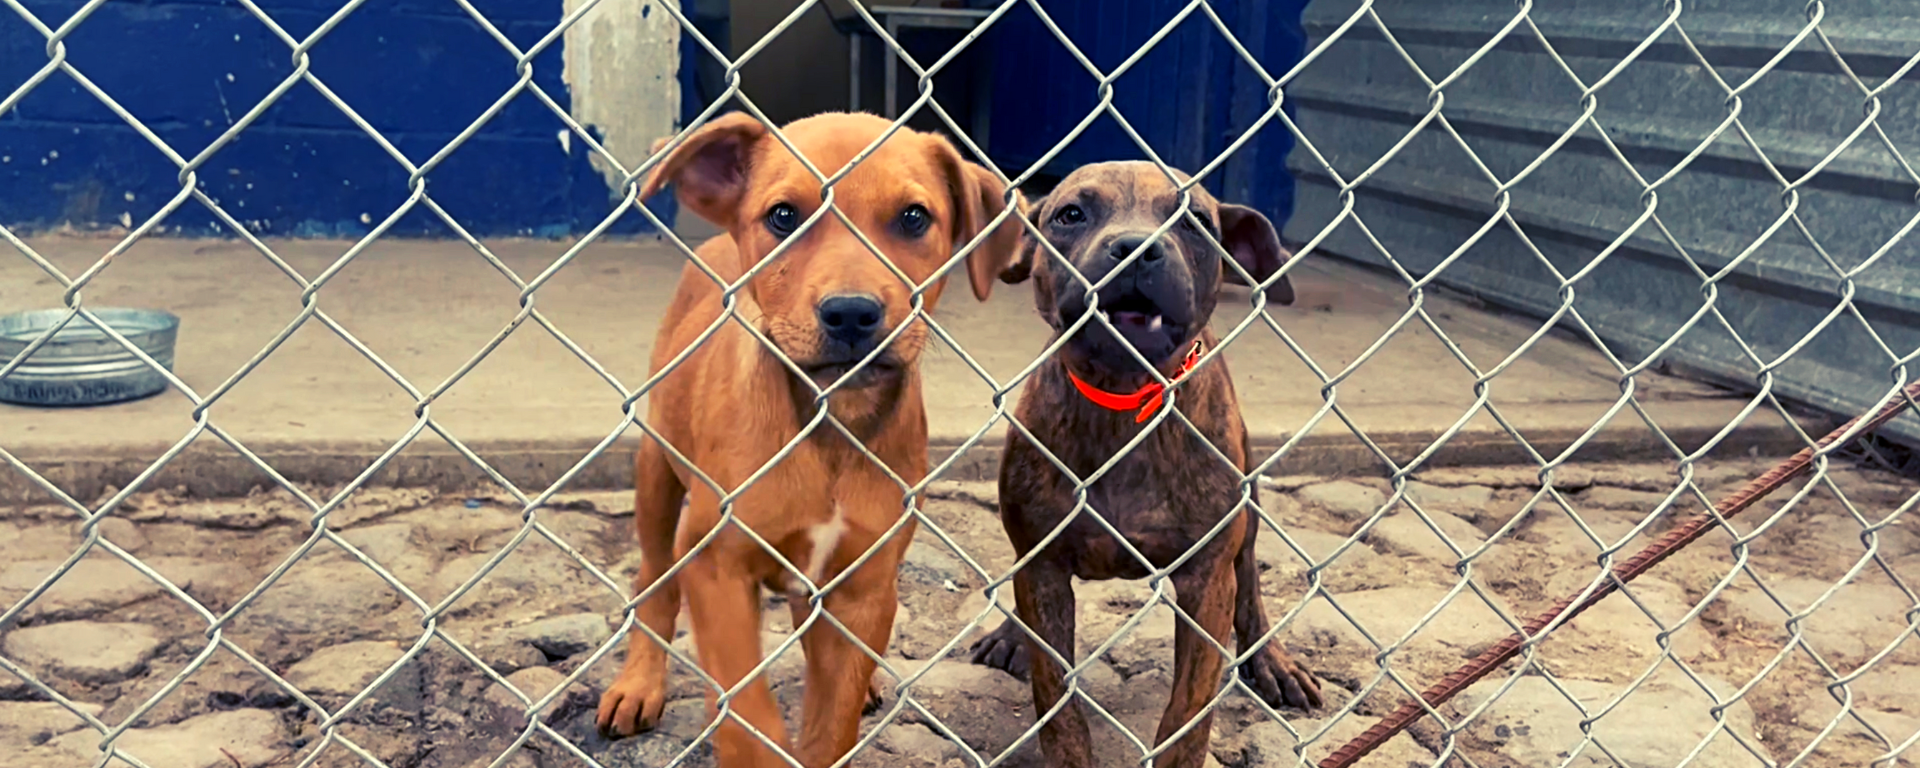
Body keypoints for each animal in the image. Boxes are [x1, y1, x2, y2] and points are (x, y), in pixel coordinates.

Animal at [599, 112, 1029, 768]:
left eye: (914, 218)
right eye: (783, 215)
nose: (851, 313)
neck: (831, 419)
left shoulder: (866, 585)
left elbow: (833, 722)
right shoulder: (717, 567)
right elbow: (749, 718)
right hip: (657, 471)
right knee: (652, 579)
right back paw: (638, 683)